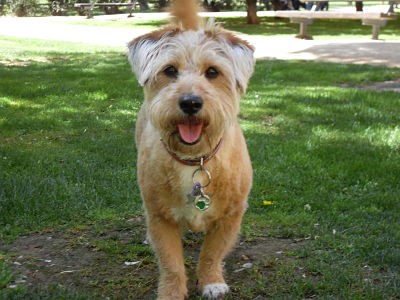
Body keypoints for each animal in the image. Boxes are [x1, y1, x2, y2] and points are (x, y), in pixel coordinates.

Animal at [126, 1, 255, 298]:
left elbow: (212, 253)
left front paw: (211, 281)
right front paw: (172, 291)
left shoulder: (230, 216)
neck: (195, 159)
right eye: (170, 70)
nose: (190, 102)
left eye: (213, 72)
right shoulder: (160, 218)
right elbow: (171, 262)